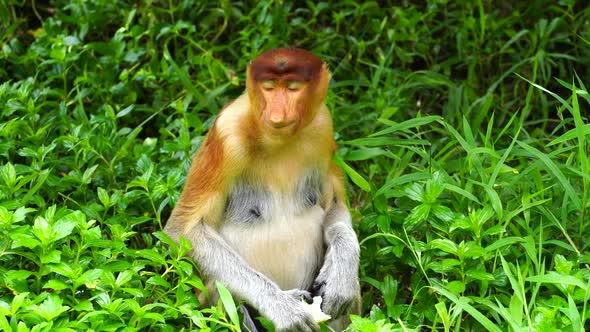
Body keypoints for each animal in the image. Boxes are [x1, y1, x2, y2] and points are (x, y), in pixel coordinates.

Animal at [164, 48, 364, 330]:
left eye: (292, 88)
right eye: (268, 87)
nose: (277, 115)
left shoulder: (323, 127)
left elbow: (334, 205)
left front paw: (341, 275)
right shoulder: (227, 136)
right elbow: (185, 229)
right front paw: (285, 310)